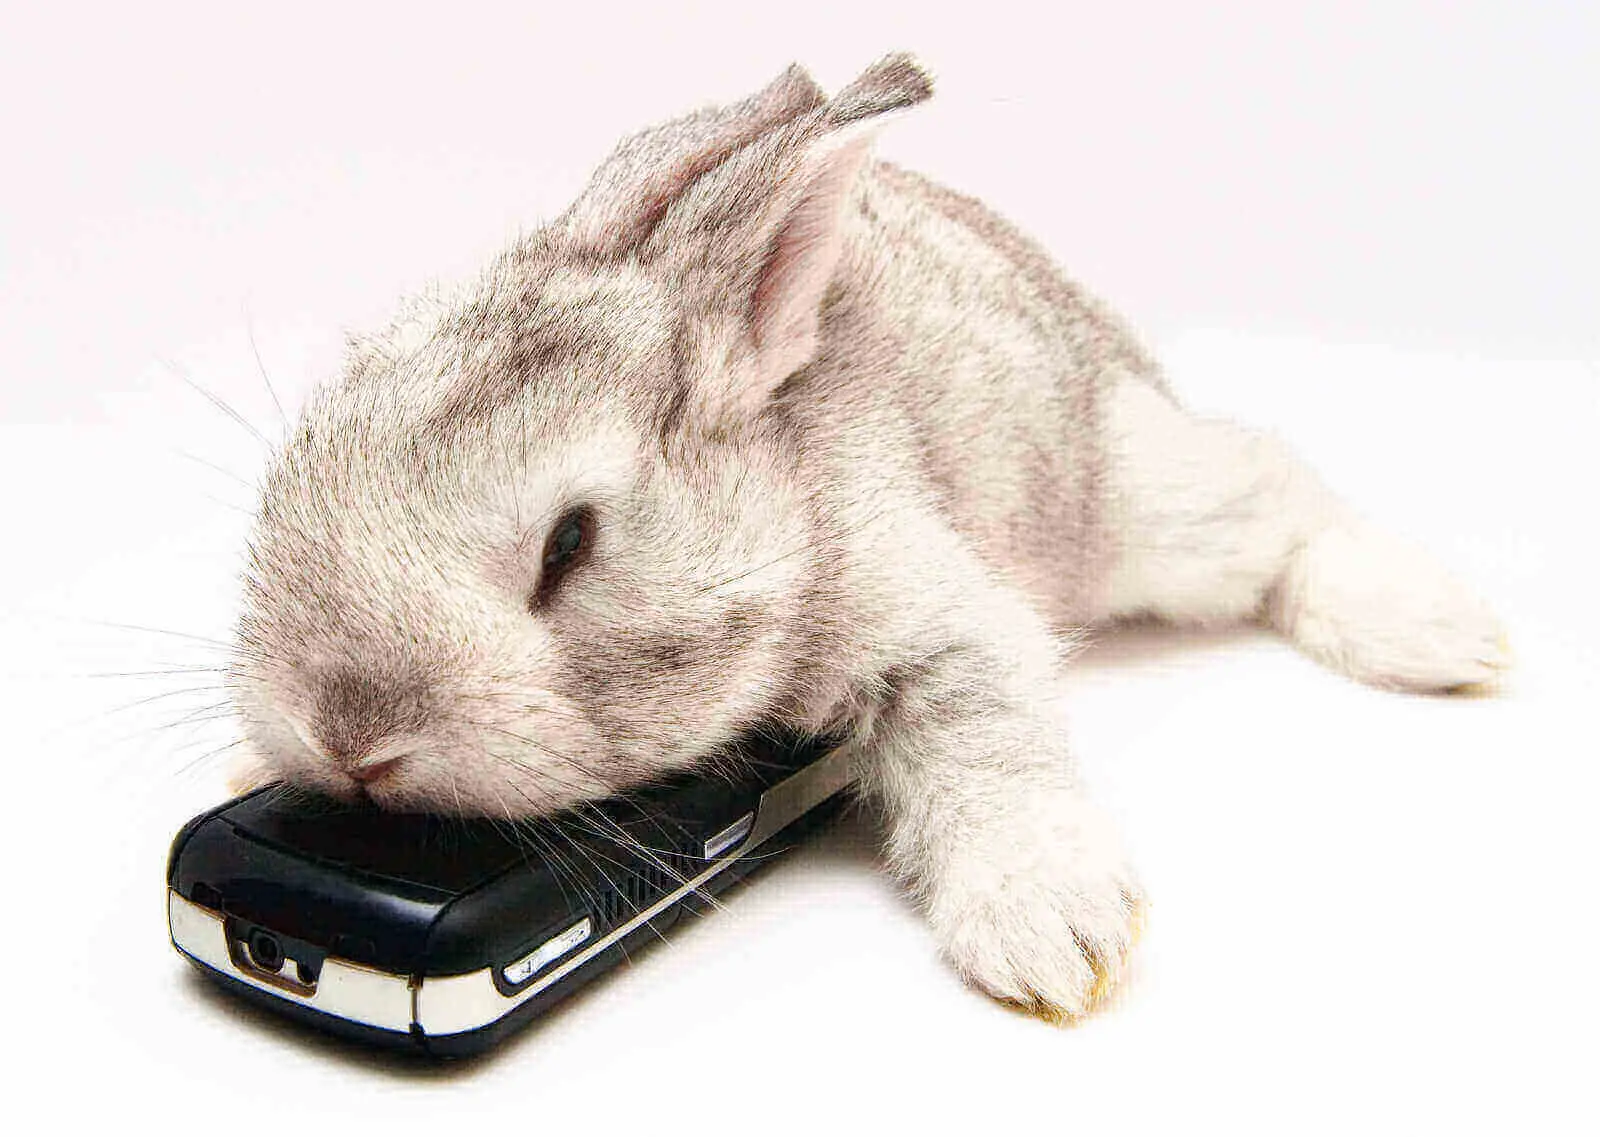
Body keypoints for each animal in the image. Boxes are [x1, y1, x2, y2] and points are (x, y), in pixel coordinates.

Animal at [227, 53, 1509, 1021]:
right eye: (302, 459)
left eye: (570, 544)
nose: (350, 739)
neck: (785, 507)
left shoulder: (933, 612)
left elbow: (986, 738)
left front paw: (1051, 933)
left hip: (1141, 504)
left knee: (1279, 497)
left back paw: (1440, 633)